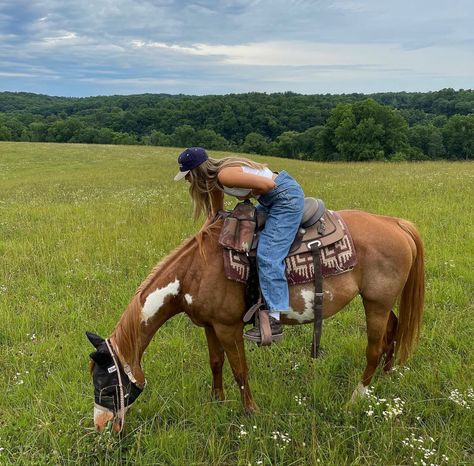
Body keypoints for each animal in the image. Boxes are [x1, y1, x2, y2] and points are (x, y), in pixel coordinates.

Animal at [87, 209, 424, 432]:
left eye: (107, 388)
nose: (101, 426)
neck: (193, 273)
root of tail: (395, 223)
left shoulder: (229, 327)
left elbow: (240, 370)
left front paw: (251, 412)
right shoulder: (210, 326)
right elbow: (216, 364)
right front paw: (217, 402)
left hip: (376, 304)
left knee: (374, 348)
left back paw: (356, 398)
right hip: (379, 303)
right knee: (393, 332)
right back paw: (386, 376)